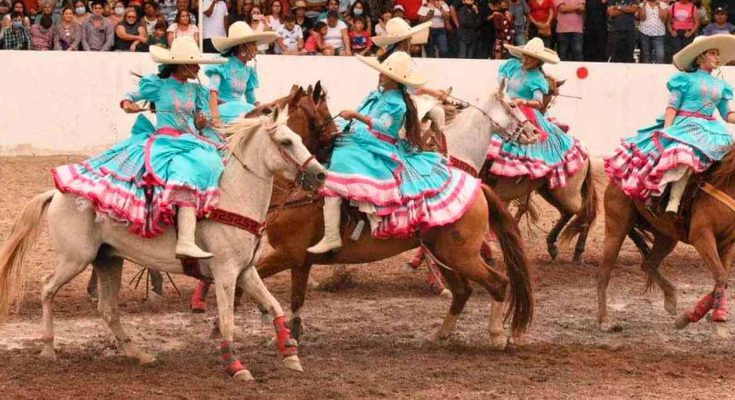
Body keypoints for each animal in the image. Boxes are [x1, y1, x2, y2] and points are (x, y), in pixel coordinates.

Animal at [0, 106, 324, 382]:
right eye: (286, 141)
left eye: (299, 138)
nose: (320, 174)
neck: (234, 196)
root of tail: (56, 193)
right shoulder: (226, 274)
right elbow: (228, 321)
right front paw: (236, 367)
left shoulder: (246, 271)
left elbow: (274, 306)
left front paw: (290, 355)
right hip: (75, 258)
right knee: (47, 288)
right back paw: (48, 348)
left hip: (107, 260)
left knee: (108, 308)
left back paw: (138, 354)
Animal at [252, 82, 536, 350]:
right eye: (513, 105)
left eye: (269, 110)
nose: (534, 133)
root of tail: (479, 187)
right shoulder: (300, 261)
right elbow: (296, 301)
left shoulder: (288, 255)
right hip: (446, 254)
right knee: (462, 291)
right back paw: (440, 334)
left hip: (461, 256)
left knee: (497, 283)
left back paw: (497, 336)